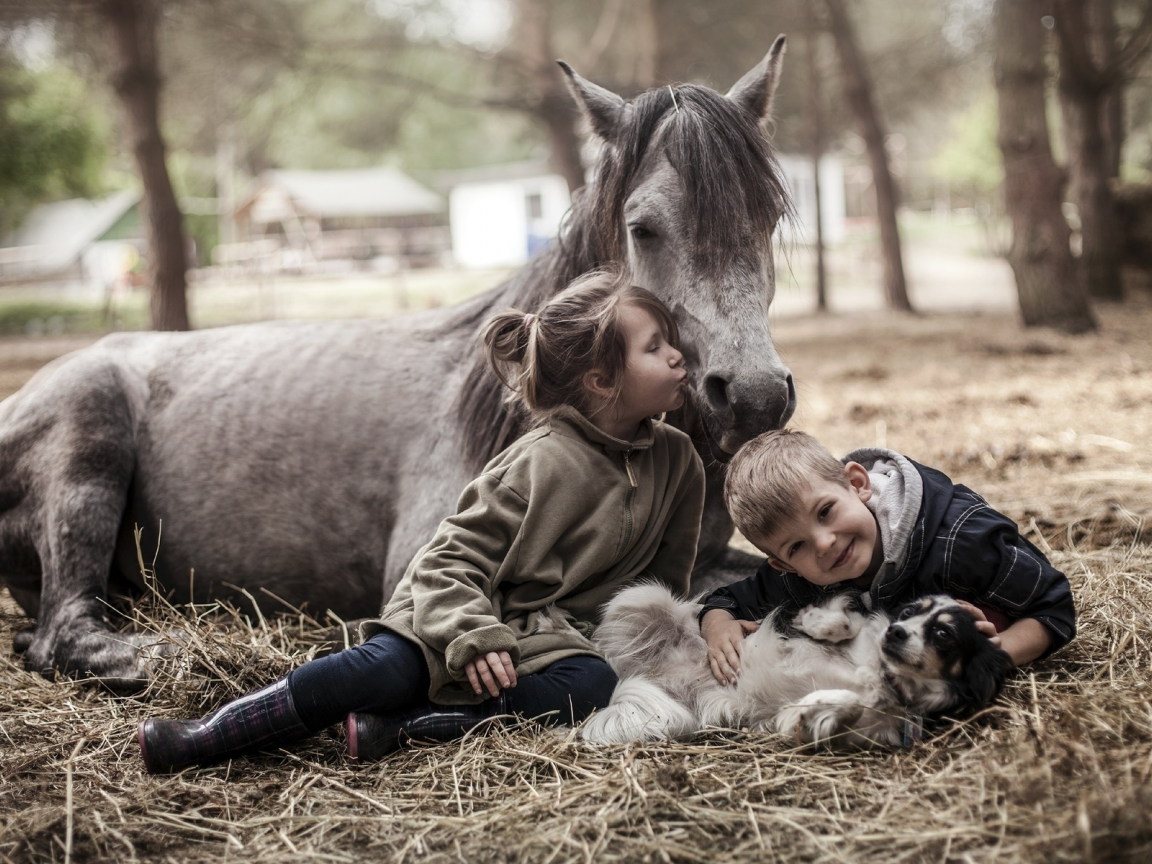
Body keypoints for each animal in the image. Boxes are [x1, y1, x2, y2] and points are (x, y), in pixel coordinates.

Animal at [580, 589, 1013, 751]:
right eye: (908, 611)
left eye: (942, 633)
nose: (896, 631)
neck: (883, 676)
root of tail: (638, 679)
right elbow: (843, 623)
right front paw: (814, 622)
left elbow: (846, 704)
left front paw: (807, 709)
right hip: (643, 595)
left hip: (671, 717)